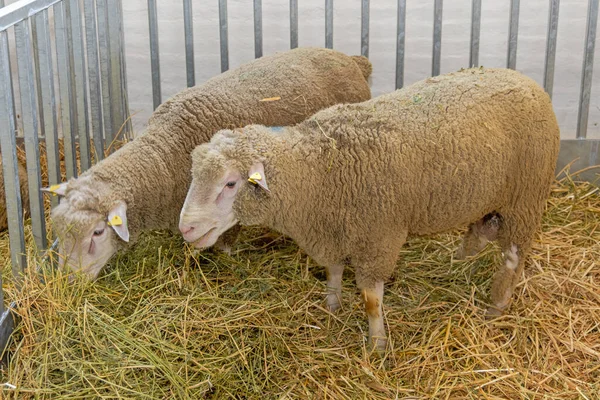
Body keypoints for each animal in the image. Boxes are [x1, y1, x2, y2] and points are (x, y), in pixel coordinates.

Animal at [179, 68, 564, 350]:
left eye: (230, 184)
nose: (186, 229)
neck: (317, 170)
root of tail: (529, 82)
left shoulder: (378, 237)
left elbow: (371, 301)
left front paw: (377, 344)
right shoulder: (331, 228)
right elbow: (334, 270)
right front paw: (331, 304)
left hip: (526, 197)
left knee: (513, 256)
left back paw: (496, 306)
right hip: (489, 195)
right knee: (482, 228)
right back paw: (461, 260)